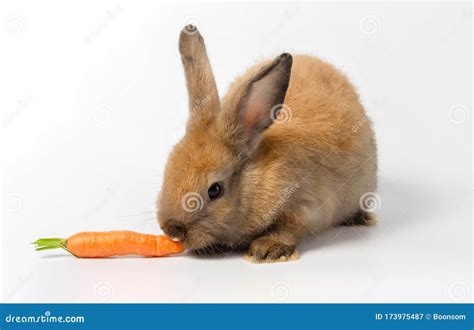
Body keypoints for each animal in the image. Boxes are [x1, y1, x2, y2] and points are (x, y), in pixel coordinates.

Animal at [156, 24, 378, 262]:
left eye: (215, 190)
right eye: (168, 169)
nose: (172, 229)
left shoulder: (303, 204)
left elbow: (288, 228)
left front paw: (267, 250)